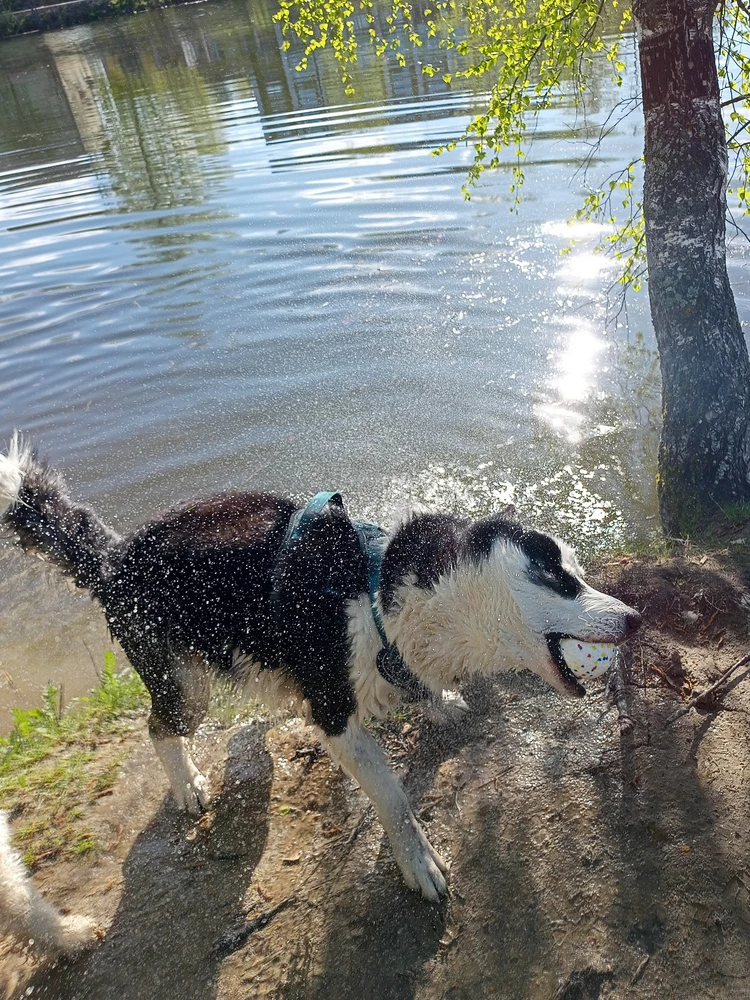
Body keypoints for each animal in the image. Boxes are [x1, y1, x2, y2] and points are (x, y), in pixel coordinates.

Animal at [1, 436, 648, 900]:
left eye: (579, 570)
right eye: (558, 576)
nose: (636, 617)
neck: (382, 589)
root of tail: (114, 557)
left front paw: (440, 703)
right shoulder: (336, 710)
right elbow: (392, 797)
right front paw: (418, 863)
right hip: (183, 683)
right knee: (159, 726)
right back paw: (187, 785)